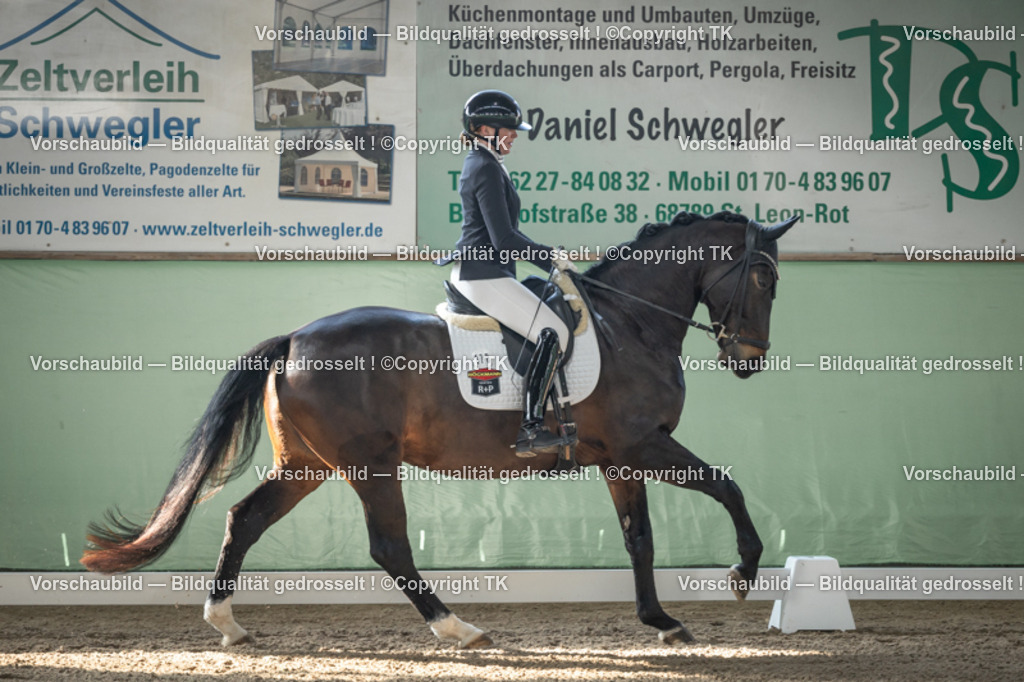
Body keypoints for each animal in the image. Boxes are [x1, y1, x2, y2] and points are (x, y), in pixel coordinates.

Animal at [81, 210, 798, 648]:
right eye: (764, 275)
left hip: (308, 465)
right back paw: (458, 629)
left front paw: (661, 620)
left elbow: (639, 539)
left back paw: (227, 624)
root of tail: (294, 339)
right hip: (369, 465)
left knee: (245, 519)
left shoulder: (619, 458)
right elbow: (727, 485)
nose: (750, 359)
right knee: (388, 547)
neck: (632, 323)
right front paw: (743, 572)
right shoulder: (643, 443)